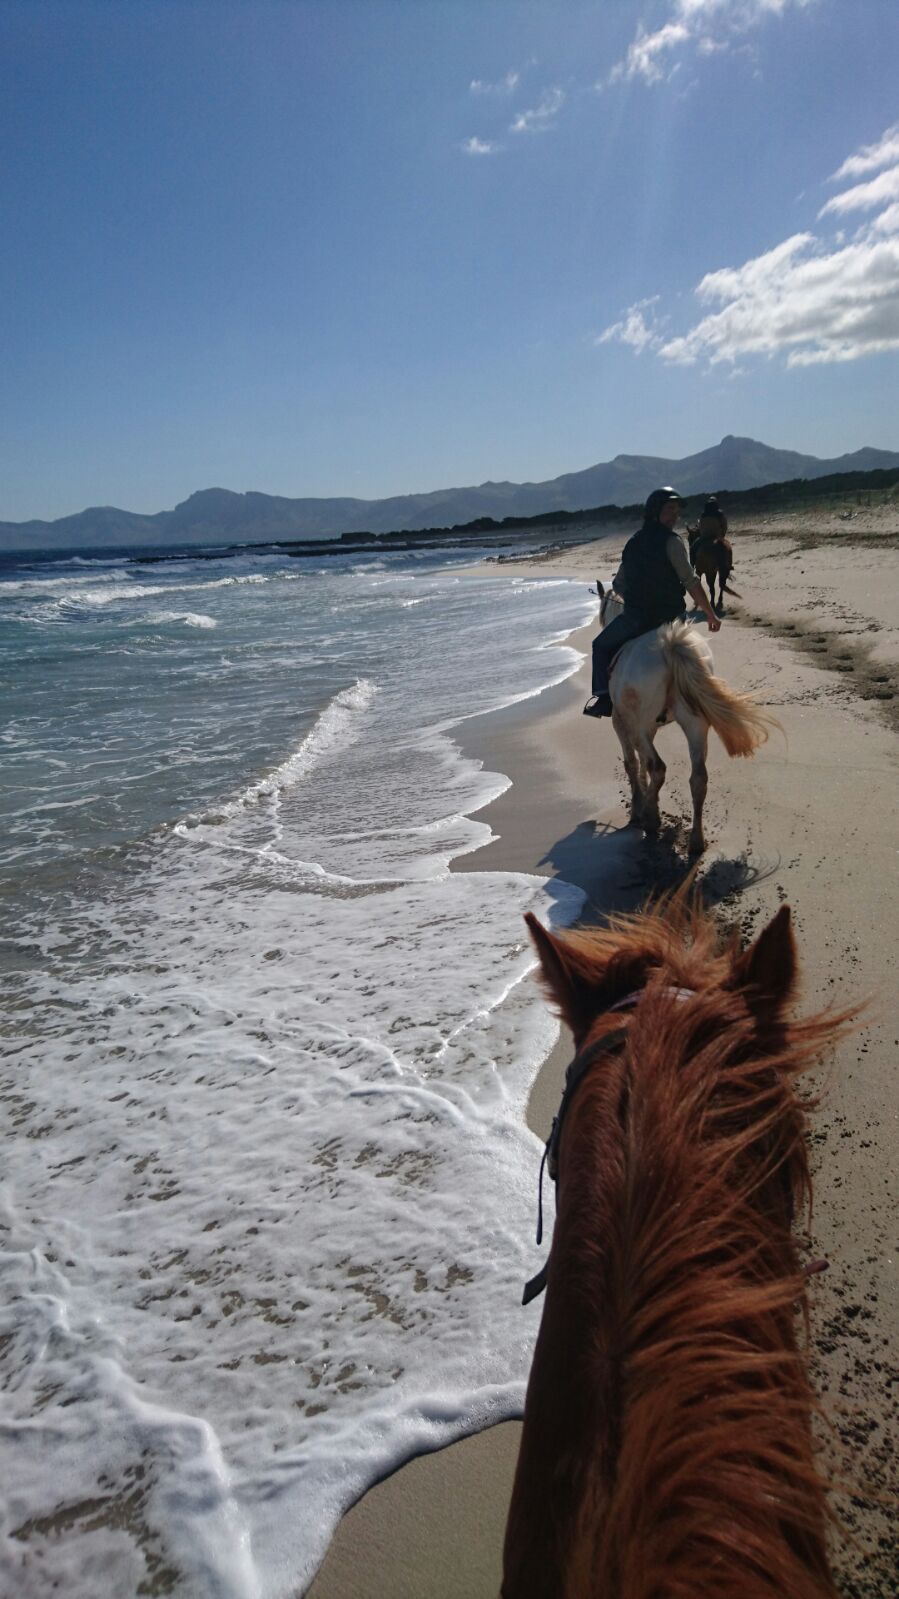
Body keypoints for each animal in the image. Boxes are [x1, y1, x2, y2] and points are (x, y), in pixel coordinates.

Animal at [595, 588, 771, 857]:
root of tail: (669, 644)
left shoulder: (621, 723)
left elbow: (632, 763)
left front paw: (638, 807)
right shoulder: (648, 728)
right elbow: (642, 764)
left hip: (641, 725)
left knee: (658, 766)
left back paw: (649, 817)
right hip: (694, 724)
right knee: (697, 778)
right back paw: (696, 840)